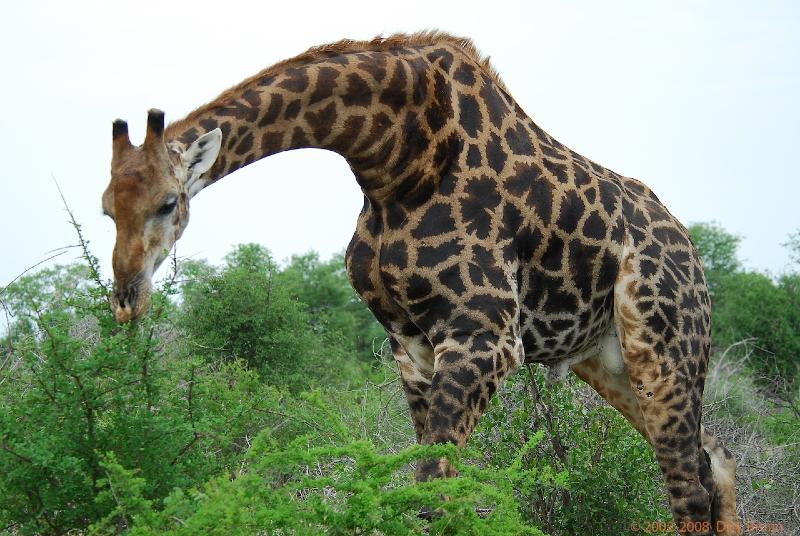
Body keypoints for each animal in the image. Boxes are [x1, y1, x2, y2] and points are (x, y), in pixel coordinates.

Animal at [104, 32, 736, 532]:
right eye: (107, 207)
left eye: (167, 203)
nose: (127, 298)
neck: (394, 162)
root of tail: (694, 258)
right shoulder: (409, 345)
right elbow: (435, 489)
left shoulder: (485, 338)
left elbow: (430, 490)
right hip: (611, 362)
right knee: (715, 460)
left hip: (663, 347)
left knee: (688, 484)